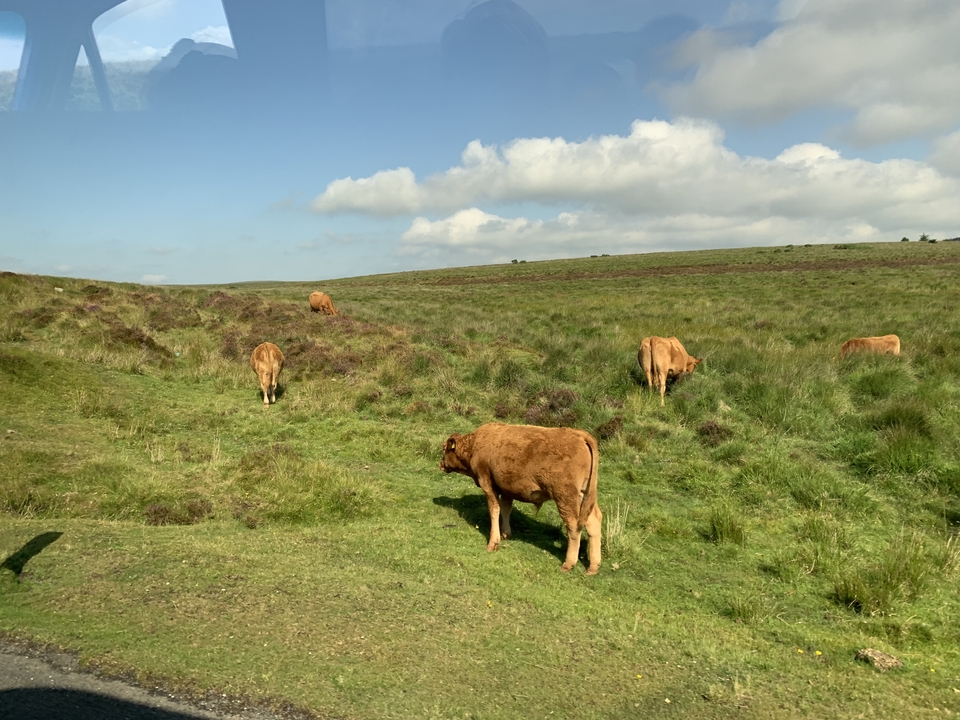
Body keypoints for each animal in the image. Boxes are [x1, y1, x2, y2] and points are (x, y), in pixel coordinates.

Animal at [440, 423, 602, 575]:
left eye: (444, 449)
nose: (441, 464)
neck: (474, 444)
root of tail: (579, 435)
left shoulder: (487, 483)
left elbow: (494, 510)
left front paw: (493, 543)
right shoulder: (506, 488)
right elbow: (506, 509)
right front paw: (505, 533)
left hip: (565, 497)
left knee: (574, 526)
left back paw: (568, 564)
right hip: (583, 495)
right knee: (593, 521)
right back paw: (593, 567)